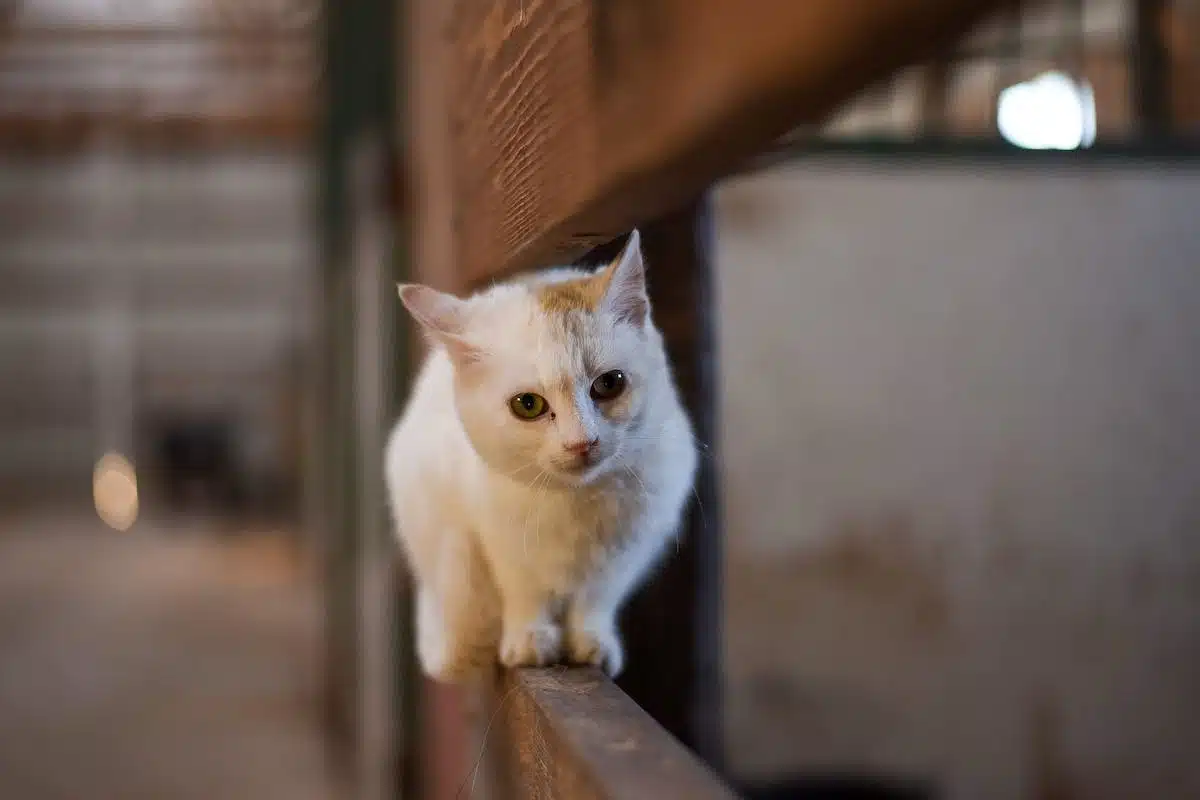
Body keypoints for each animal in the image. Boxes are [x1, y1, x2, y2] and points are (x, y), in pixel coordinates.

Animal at [384, 231, 700, 681]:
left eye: (610, 384)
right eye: (528, 405)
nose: (582, 442)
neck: (572, 501)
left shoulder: (628, 547)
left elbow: (597, 597)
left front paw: (591, 639)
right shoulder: (500, 544)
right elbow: (522, 592)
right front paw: (530, 638)